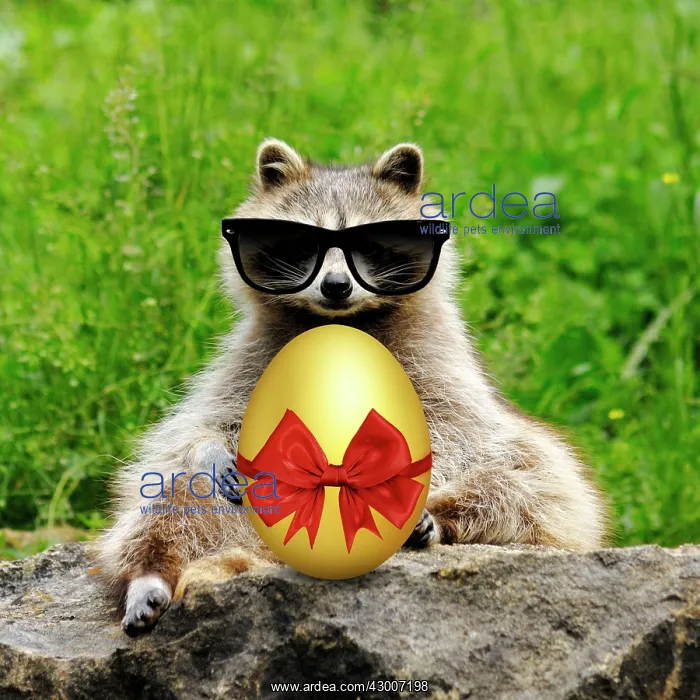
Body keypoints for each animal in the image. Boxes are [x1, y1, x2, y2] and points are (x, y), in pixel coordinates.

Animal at [97, 139, 608, 636]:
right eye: (302, 245)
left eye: (370, 245)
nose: (336, 285)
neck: (339, 323)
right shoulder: (252, 360)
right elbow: (200, 425)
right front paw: (210, 448)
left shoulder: (438, 365)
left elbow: (458, 431)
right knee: (172, 498)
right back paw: (150, 571)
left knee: (528, 481)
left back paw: (437, 518)